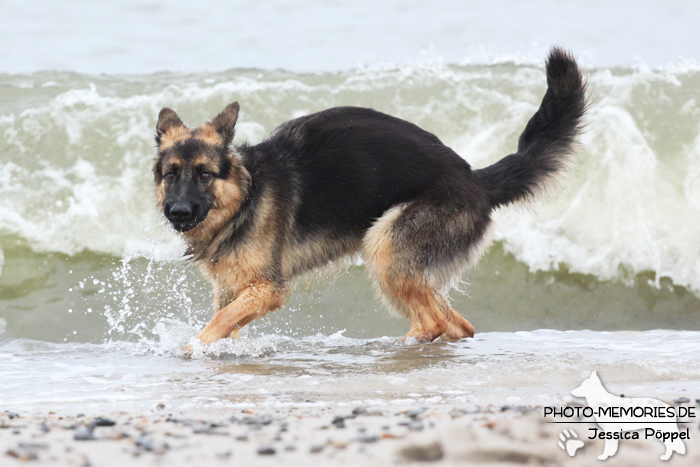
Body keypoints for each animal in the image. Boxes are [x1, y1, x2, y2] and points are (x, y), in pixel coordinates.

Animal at [152, 48, 584, 348]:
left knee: (435, 322)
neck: (247, 197)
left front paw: (192, 348)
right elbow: (227, 322)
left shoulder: (268, 289)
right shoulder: (231, 289)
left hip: (386, 245)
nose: (178, 212)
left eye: (205, 175)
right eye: (171, 175)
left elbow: (217, 324)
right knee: (458, 325)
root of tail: (475, 180)